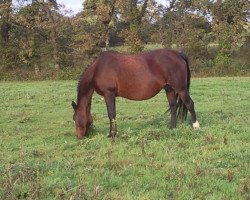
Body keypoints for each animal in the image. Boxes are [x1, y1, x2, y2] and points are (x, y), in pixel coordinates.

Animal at [71, 48, 200, 139]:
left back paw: (196, 126)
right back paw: (172, 128)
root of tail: (179, 55)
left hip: (181, 89)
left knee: (190, 104)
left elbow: (111, 114)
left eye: (75, 118)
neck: (98, 68)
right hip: (169, 89)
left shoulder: (109, 94)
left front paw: (112, 134)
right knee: (173, 107)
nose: (79, 137)